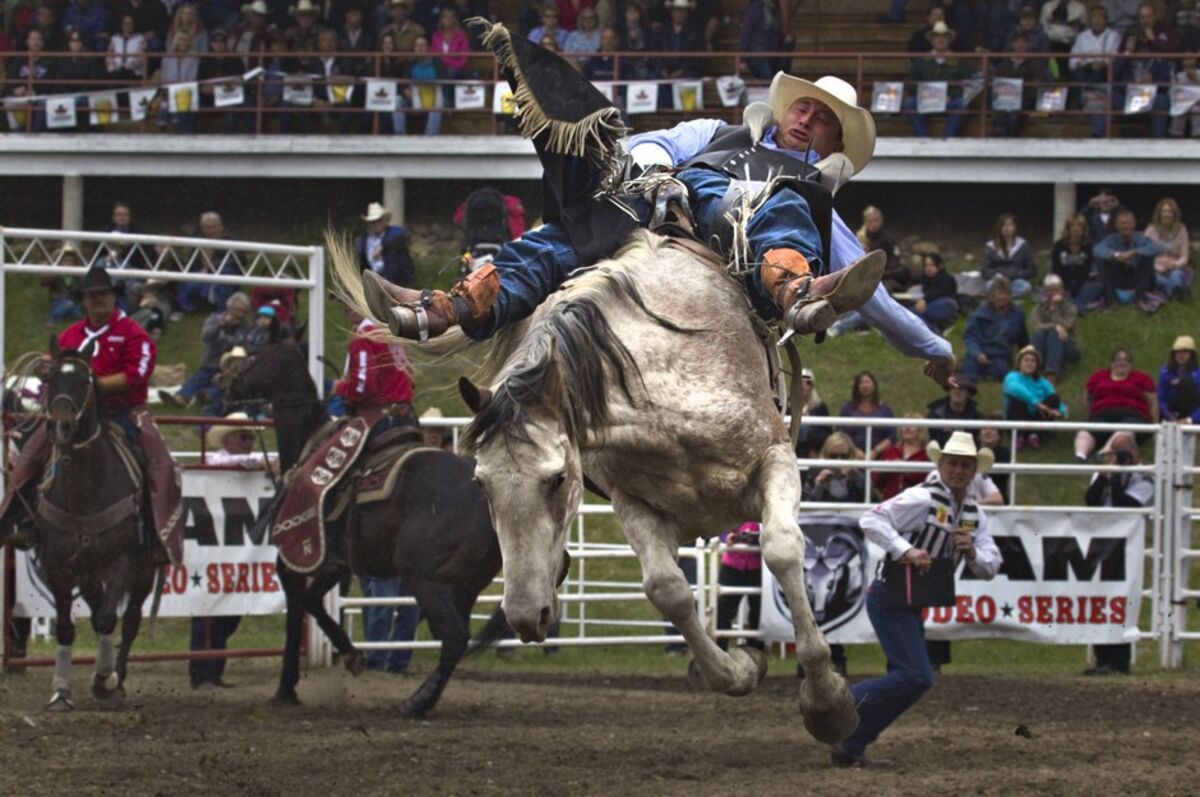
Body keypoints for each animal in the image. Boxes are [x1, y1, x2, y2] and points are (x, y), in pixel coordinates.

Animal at [338, 231, 864, 748]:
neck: (667, 394)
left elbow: (781, 549)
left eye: (557, 478)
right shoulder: (632, 502)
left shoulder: (775, 459)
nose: (524, 616)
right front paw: (742, 666)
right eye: (480, 483)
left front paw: (829, 704)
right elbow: (668, 589)